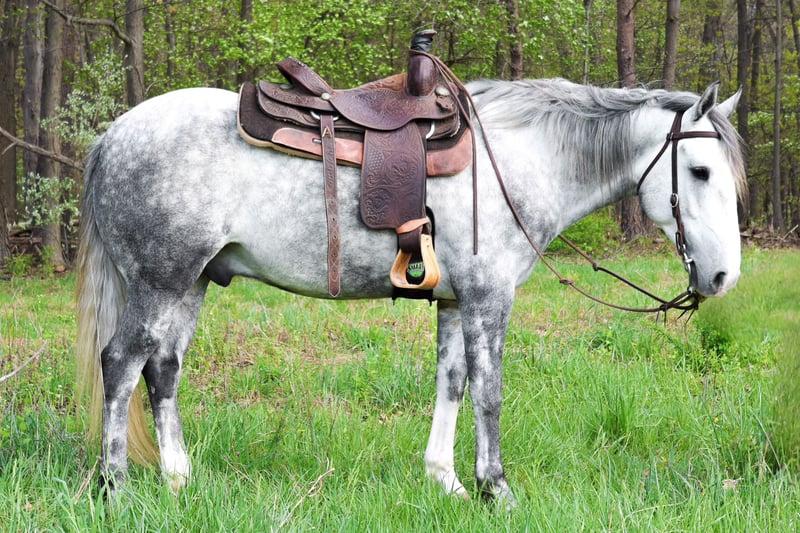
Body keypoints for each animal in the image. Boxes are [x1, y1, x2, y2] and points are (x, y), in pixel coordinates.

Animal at [75, 77, 745, 507]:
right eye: (700, 172)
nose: (722, 278)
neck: (515, 162)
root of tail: (112, 137)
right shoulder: (488, 301)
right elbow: (489, 395)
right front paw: (496, 490)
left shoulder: (454, 303)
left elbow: (451, 385)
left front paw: (446, 480)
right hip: (160, 282)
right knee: (121, 364)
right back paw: (115, 489)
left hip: (191, 283)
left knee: (162, 369)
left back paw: (178, 480)